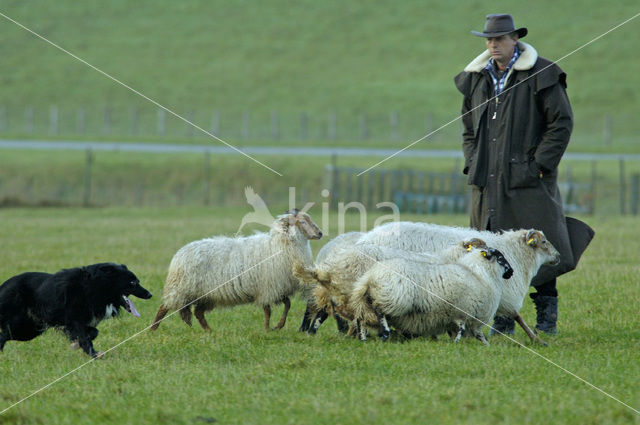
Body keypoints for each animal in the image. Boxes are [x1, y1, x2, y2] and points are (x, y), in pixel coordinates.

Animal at [0, 264, 152, 356]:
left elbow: (93, 332)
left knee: (5, 335)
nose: (150, 294)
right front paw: (93, 354)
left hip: (30, 328)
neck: (94, 286)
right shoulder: (74, 319)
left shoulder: (79, 322)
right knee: (4, 335)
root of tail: (3, 286)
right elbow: (85, 336)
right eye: (133, 282)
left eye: (137, 281)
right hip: (23, 325)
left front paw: (77, 344)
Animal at [149, 209, 320, 332]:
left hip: (206, 294)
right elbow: (268, 311)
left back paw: (209, 331)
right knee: (164, 307)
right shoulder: (266, 287)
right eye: (302, 221)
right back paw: (153, 329)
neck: (281, 245)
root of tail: (179, 254)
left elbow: (287, 305)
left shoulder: (278, 288)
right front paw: (267, 329)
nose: (320, 233)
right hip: (181, 288)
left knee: (198, 312)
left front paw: (278, 326)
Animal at [350, 243, 516, 342]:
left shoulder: (468, 319)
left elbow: (479, 336)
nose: (511, 272)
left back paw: (363, 338)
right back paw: (385, 333)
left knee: (360, 319)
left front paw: (485, 346)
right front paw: (457, 343)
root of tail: (370, 276)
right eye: (500, 258)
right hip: (393, 299)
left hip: (367, 301)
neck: (480, 274)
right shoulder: (463, 312)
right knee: (379, 312)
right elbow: (462, 329)